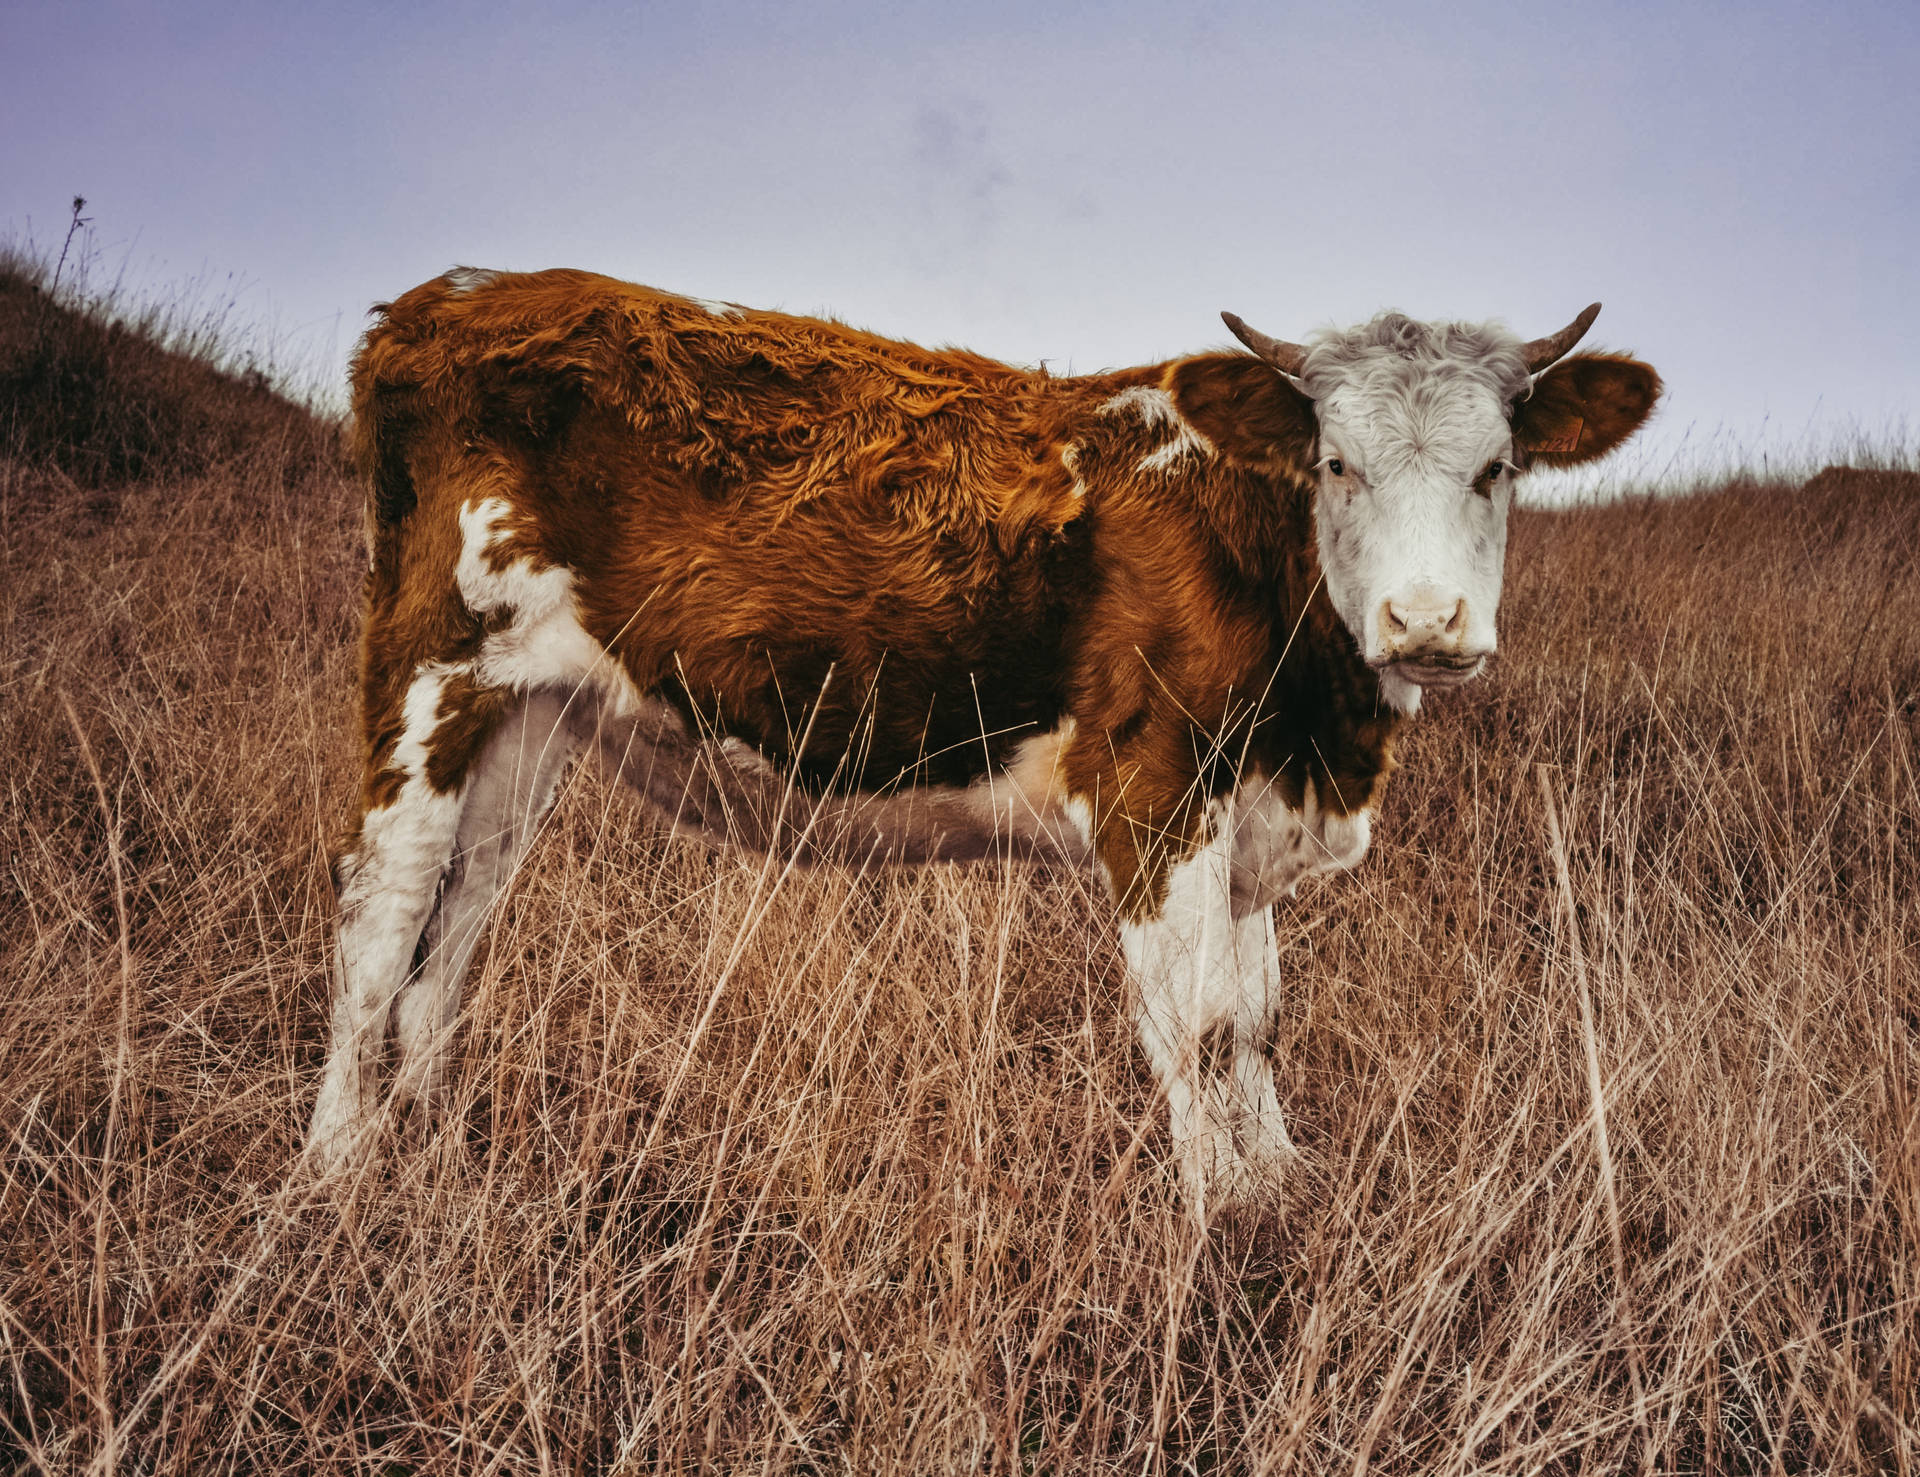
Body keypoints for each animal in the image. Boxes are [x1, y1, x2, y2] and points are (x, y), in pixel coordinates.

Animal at [307, 270, 1658, 1213]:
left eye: (1497, 468)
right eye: (1335, 461)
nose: (1426, 622)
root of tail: (449, 299)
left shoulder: (1252, 814)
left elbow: (1261, 1018)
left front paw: (1281, 1186)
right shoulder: (1155, 791)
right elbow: (1200, 1026)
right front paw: (1224, 1228)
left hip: (527, 724)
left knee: (447, 948)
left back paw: (442, 1164)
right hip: (427, 674)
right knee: (376, 926)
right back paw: (337, 1175)